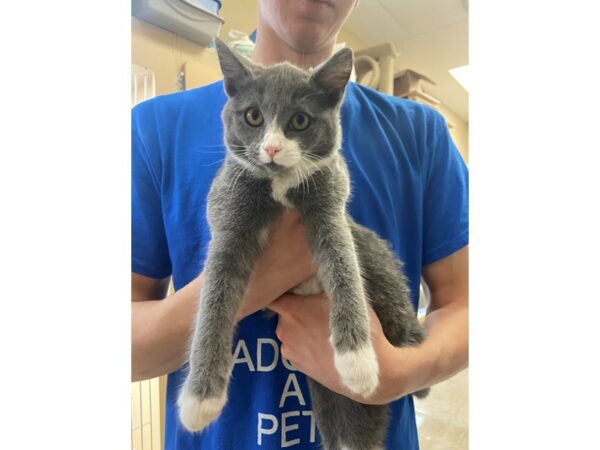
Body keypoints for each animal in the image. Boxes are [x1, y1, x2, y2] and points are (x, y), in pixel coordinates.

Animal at [176, 39, 428, 450]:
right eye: (253, 117)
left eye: (299, 121)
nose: (273, 149)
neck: (280, 185)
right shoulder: (228, 220)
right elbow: (213, 300)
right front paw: (200, 401)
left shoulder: (331, 205)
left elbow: (344, 267)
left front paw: (357, 360)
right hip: (329, 396)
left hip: (377, 262)